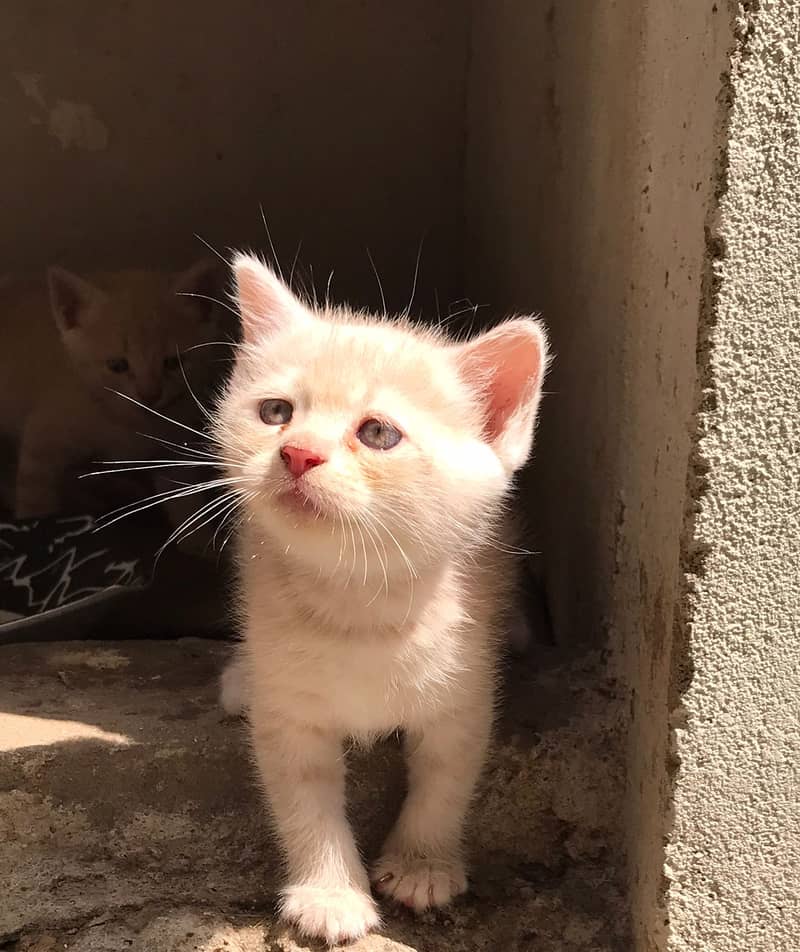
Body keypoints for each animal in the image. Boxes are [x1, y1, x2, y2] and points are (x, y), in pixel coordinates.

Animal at [1, 262, 225, 520]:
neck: (129, 424)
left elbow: (186, 506)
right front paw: (34, 518)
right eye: (117, 366)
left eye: (172, 363)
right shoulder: (43, 441)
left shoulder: (173, 451)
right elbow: (35, 500)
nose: (149, 396)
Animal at [212, 255, 552, 944]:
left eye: (376, 433)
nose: (297, 453)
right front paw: (330, 893)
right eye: (275, 412)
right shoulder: (289, 713)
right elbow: (304, 797)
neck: (359, 604)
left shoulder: (463, 689)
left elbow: (446, 776)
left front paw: (423, 864)